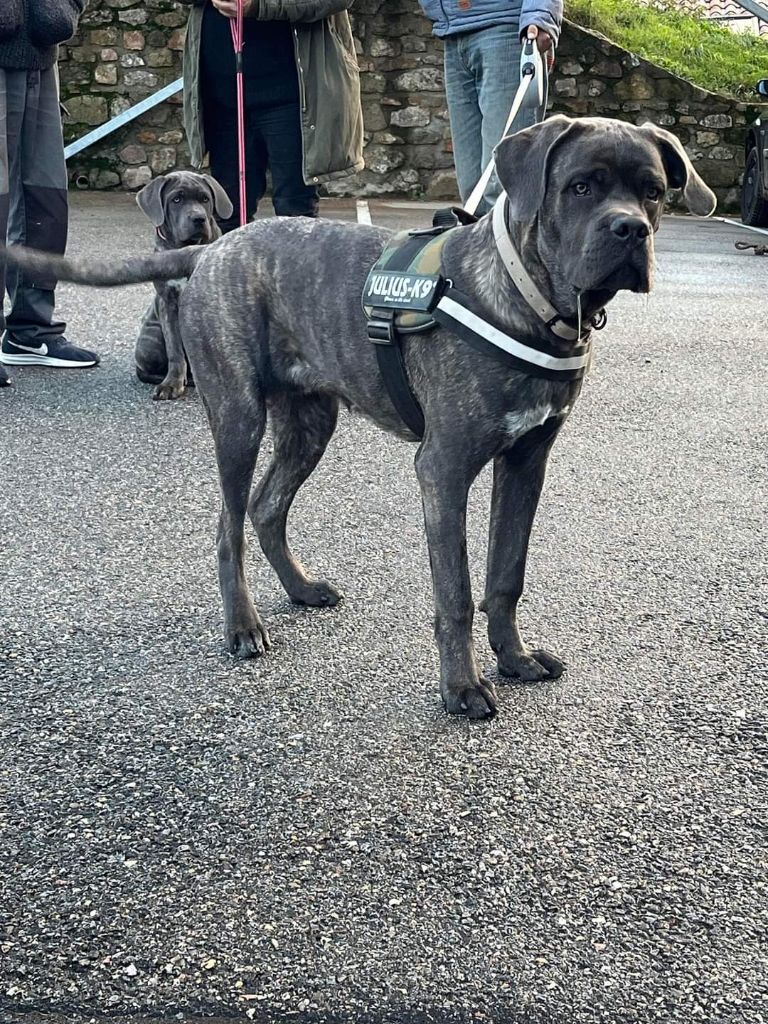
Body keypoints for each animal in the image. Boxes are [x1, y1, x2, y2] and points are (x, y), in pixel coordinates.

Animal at [3, 114, 720, 720]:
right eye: (580, 187)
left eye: (653, 192)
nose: (631, 230)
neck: (528, 299)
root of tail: (214, 247)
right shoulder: (444, 470)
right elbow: (456, 592)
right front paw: (461, 687)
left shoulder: (526, 463)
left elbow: (505, 574)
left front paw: (513, 659)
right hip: (238, 419)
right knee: (229, 527)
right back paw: (243, 627)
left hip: (308, 425)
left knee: (266, 507)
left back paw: (300, 588)